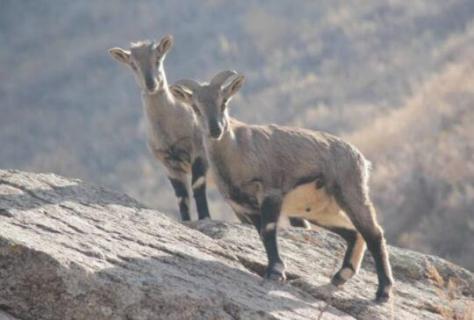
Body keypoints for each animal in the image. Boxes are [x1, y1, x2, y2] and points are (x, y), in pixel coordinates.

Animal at [110, 35, 210, 220]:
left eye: (157, 59)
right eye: (133, 64)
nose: (151, 84)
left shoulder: (198, 151)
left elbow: (198, 187)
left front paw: (205, 218)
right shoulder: (168, 162)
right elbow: (181, 196)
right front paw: (186, 220)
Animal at [172, 70, 394, 302]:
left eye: (223, 102)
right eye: (195, 107)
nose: (216, 129)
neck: (237, 150)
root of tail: (360, 158)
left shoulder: (270, 193)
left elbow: (268, 230)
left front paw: (275, 272)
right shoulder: (247, 207)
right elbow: (262, 234)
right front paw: (276, 269)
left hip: (351, 191)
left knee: (374, 234)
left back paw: (383, 290)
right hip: (320, 210)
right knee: (353, 232)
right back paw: (341, 276)